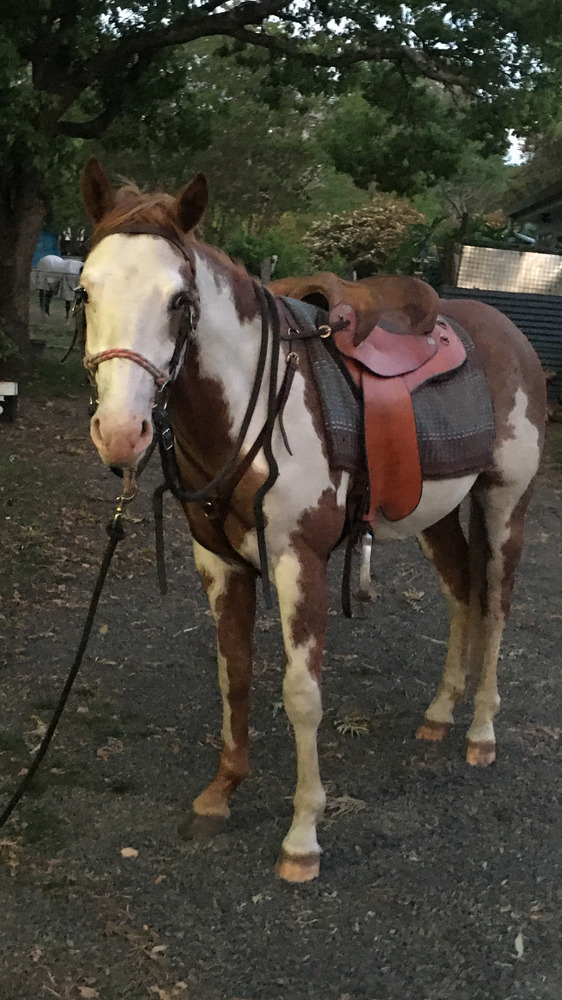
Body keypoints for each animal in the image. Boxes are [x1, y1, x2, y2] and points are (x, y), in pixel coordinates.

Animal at [79, 157, 546, 882]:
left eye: (180, 301)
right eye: (84, 293)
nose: (122, 433)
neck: (250, 405)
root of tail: (509, 335)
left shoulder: (301, 562)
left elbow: (301, 694)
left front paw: (302, 837)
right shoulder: (219, 562)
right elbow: (234, 674)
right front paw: (220, 794)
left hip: (504, 506)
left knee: (495, 604)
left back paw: (481, 731)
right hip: (436, 515)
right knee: (462, 594)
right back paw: (441, 713)